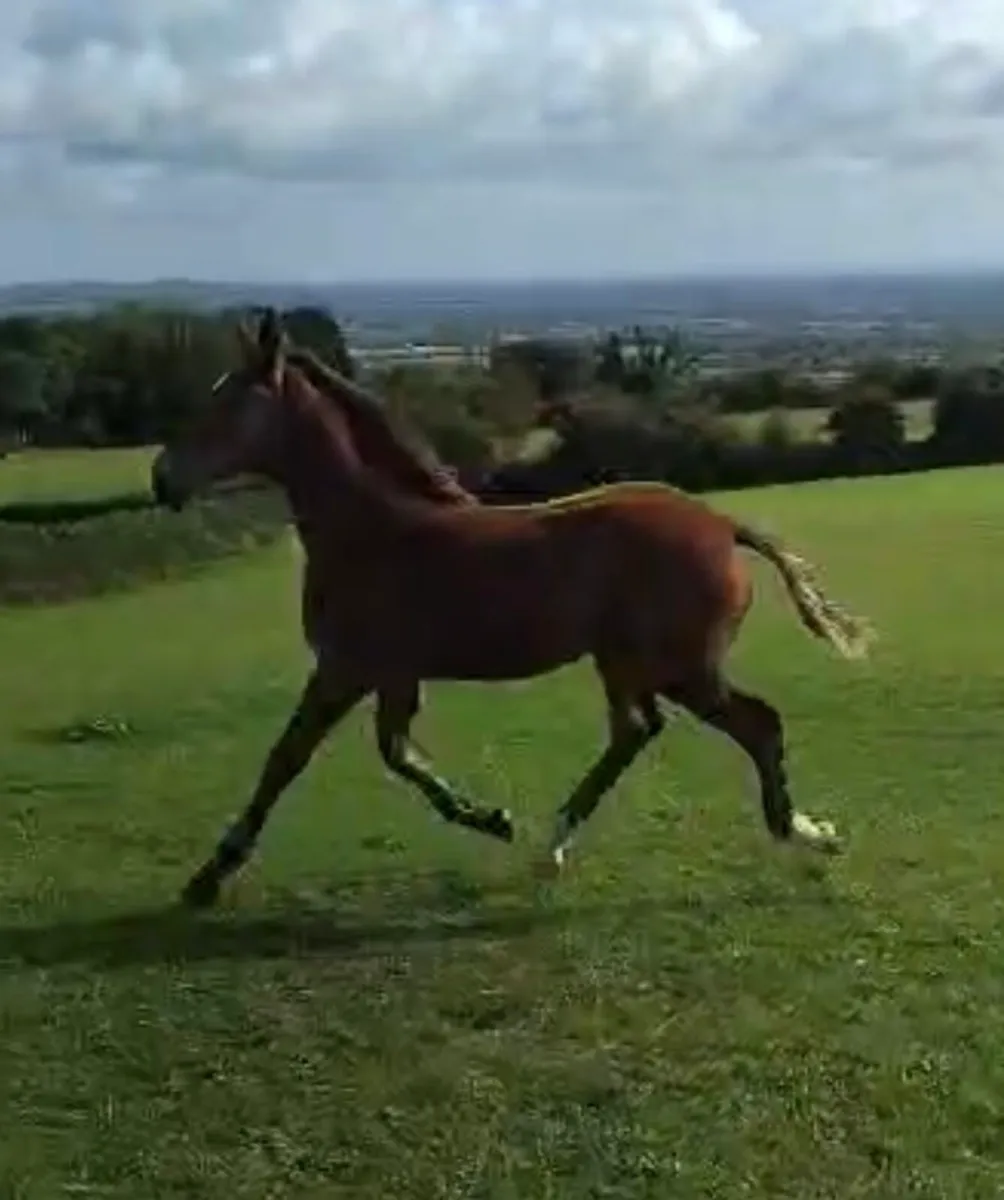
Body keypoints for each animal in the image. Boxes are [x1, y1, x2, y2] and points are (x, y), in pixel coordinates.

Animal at [151, 309, 874, 909]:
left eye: (228, 404)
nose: (162, 479)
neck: (375, 531)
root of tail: (723, 526)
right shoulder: (392, 674)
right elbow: (396, 753)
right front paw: (493, 820)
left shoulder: (345, 668)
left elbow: (288, 760)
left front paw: (206, 878)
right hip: (623, 660)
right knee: (637, 731)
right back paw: (550, 848)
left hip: (680, 664)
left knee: (755, 725)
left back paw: (804, 833)